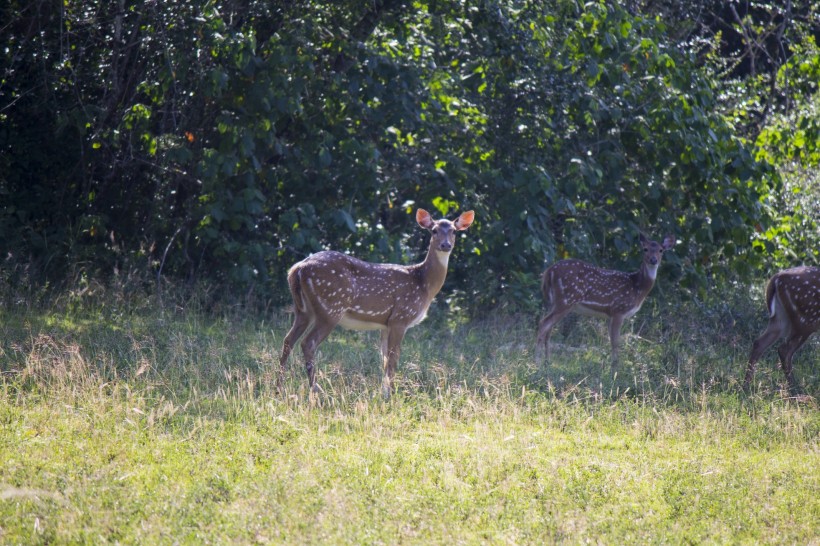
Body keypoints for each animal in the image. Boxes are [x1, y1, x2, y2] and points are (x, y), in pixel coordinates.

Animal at [280, 206, 474, 394]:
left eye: (454, 231)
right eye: (434, 230)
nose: (445, 245)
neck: (423, 283)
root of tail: (297, 269)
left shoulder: (385, 324)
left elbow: (385, 359)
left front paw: (383, 392)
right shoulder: (400, 317)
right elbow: (394, 358)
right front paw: (392, 394)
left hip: (303, 310)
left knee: (288, 340)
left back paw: (279, 383)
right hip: (330, 308)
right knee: (307, 343)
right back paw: (316, 389)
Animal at [536, 232, 676, 368]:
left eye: (661, 250)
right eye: (645, 249)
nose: (653, 260)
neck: (637, 288)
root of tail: (549, 272)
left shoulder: (610, 315)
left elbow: (610, 341)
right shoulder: (619, 309)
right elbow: (615, 342)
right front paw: (615, 369)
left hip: (554, 302)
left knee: (549, 329)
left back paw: (547, 362)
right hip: (566, 300)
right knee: (543, 324)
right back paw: (536, 362)